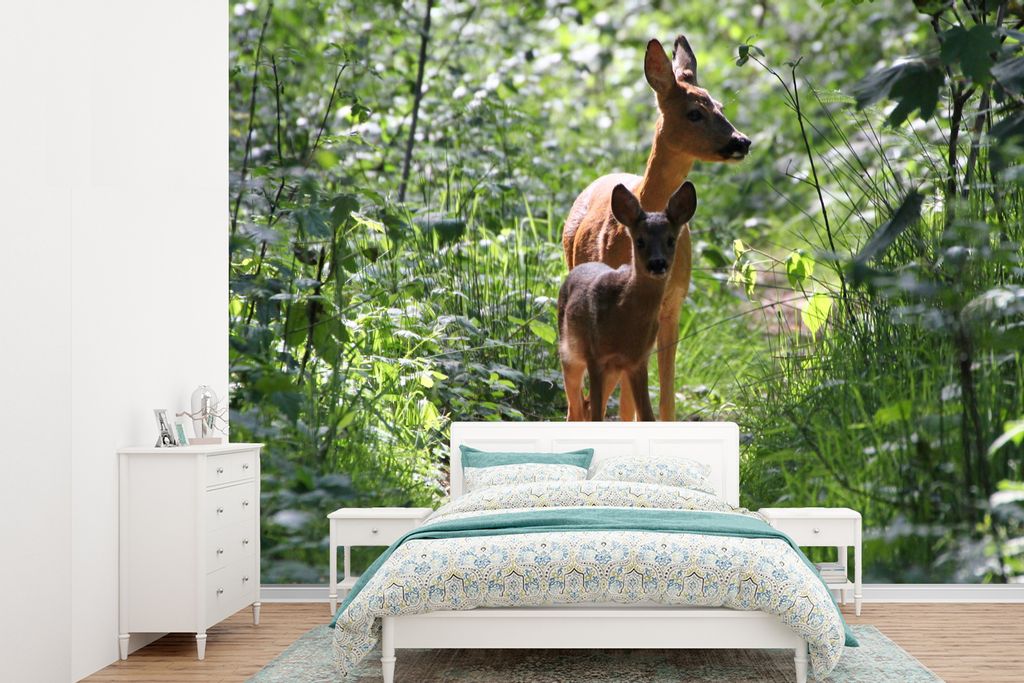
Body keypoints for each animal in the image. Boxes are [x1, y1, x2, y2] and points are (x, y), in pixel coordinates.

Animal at [559, 182, 698, 421]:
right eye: (639, 241)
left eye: (671, 240)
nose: (657, 264)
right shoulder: (596, 356)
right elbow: (596, 413)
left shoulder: (637, 361)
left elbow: (646, 416)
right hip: (571, 354)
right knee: (576, 405)